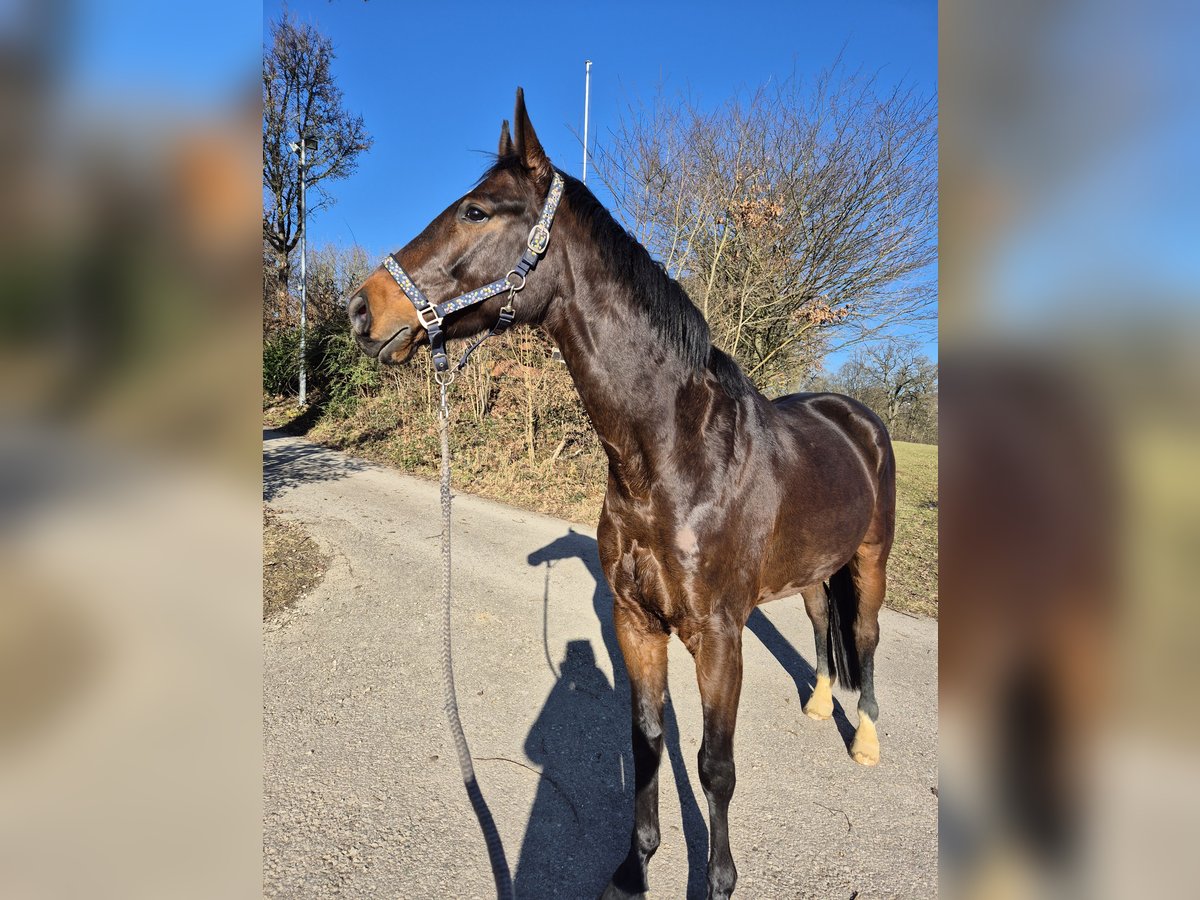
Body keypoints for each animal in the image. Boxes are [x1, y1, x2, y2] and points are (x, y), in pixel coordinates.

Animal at [345, 88, 892, 897]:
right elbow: (646, 742)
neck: (675, 458)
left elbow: (714, 766)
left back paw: (867, 739)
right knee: (824, 619)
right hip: (812, 567)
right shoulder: (637, 622)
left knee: (866, 636)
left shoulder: (718, 637)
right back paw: (823, 704)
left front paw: (718, 880)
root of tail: (854, 414)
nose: (361, 309)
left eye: (477, 211)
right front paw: (634, 868)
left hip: (872, 559)